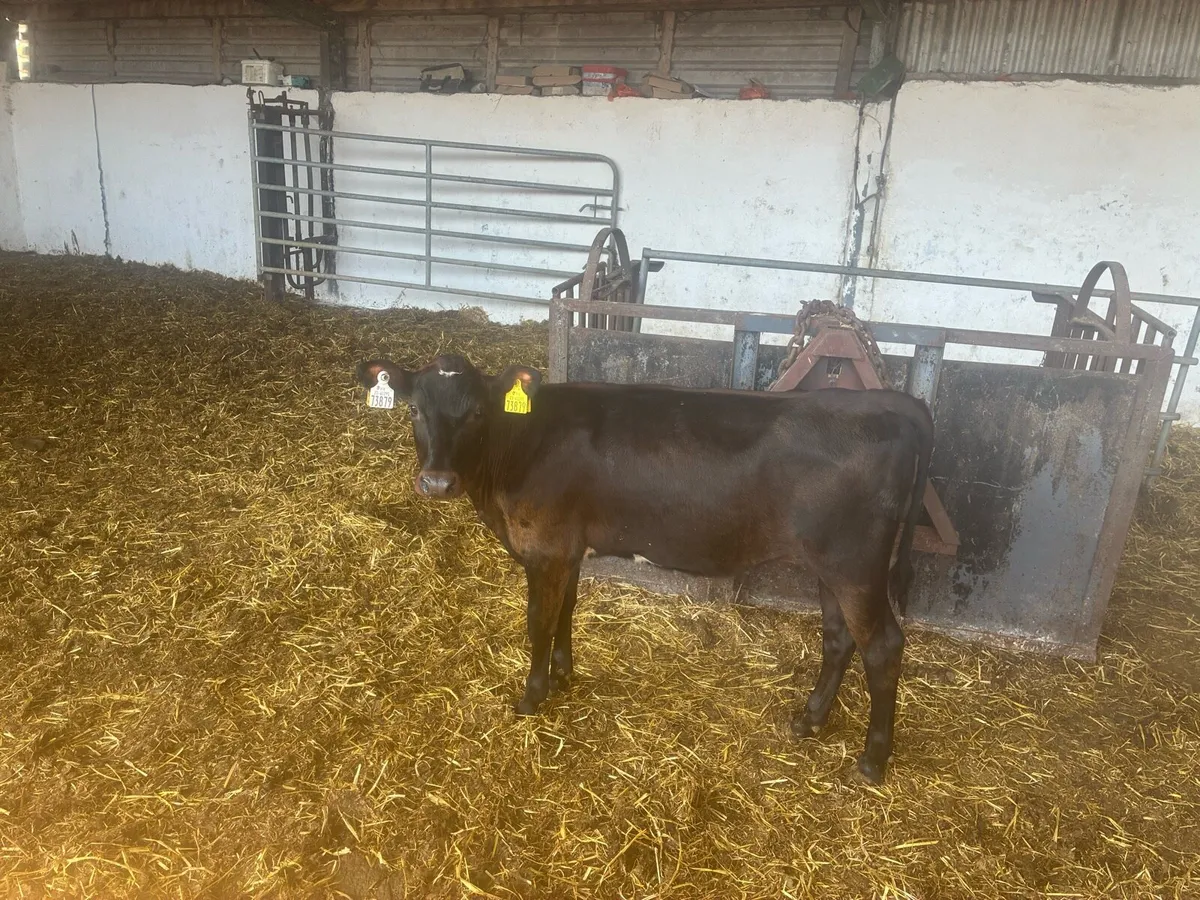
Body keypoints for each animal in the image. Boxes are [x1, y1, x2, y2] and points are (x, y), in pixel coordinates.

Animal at [356, 353, 933, 783]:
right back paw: (809, 720)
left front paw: (531, 696)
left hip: (854, 566)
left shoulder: (545, 547)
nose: (436, 482)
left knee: (883, 647)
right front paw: (563, 674)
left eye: (476, 412)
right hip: (831, 568)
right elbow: (565, 610)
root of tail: (892, 403)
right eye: (414, 410)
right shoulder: (570, 549)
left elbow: (538, 620)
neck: (520, 445)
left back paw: (872, 760)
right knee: (838, 638)